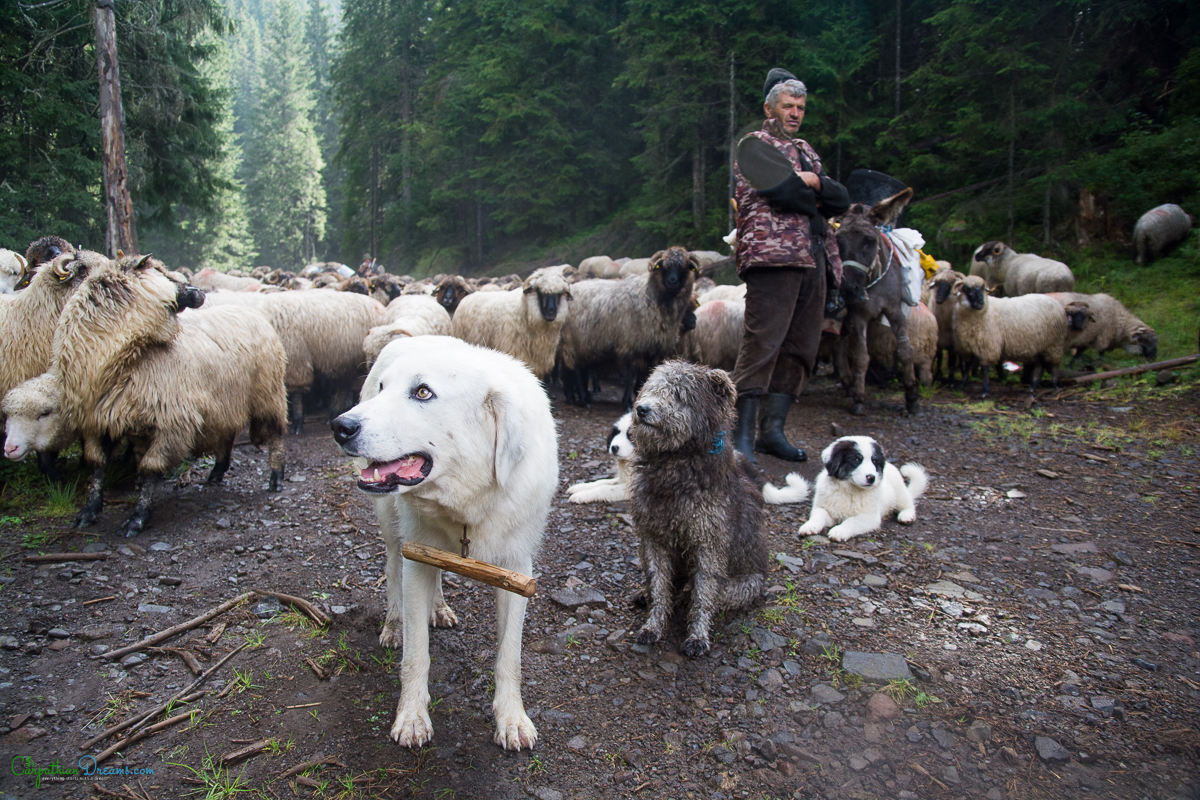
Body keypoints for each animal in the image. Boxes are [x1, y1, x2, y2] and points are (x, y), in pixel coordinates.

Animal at [50, 253, 289, 534]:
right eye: (162, 273)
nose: (199, 292)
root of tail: (253, 313)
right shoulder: (95, 421)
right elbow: (97, 465)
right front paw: (88, 511)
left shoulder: (172, 421)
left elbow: (150, 468)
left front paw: (138, 517)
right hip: (226, 401)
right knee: (227, 433)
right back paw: (216, 473)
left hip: (268, 392)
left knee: (275, 433)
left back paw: (276, 476)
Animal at [328, 335, 552, 753]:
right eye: (383, 388)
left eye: (422, 392)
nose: (340, 426)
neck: (469, 502)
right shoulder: (416, 558)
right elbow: (417, 654)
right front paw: (412, 718)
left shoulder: (517, 572)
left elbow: (509, 656)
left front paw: (511, 719)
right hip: (391, 527)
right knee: (391, 570)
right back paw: (394, 624)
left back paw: (440, 607)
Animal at [556, 244, 700, 410]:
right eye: (664, 266)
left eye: (685, 267)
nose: (672, 281)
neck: (650, 299)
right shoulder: (632, 347)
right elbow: (631, 378)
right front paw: (627, 402)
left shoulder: (655, 350)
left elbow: (647, 376)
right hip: (572, 341)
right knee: (576, 371)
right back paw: (584, 399)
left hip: (582, 344)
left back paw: (573, 397)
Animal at [628, 357, 768, 657]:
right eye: (651, 388)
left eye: (680, 395)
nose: (642, 409)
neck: (675, 466)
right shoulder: (653, 538)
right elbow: (658, 584)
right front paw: (653, 625)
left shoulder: (709, 543)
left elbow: (704, 593)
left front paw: (697, 636)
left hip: (746, 585)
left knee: (706, 593)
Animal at [796, 438, 926, 544]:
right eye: (856, 459)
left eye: (874, 461)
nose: (871, 477)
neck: (849, 491)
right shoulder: (824, 508)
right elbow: (819, 515)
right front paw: (810, 526)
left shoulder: (870, 517)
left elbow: (852, 521)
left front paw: (839, 531)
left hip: (900, 491)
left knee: (908, 504)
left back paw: (906, 515)